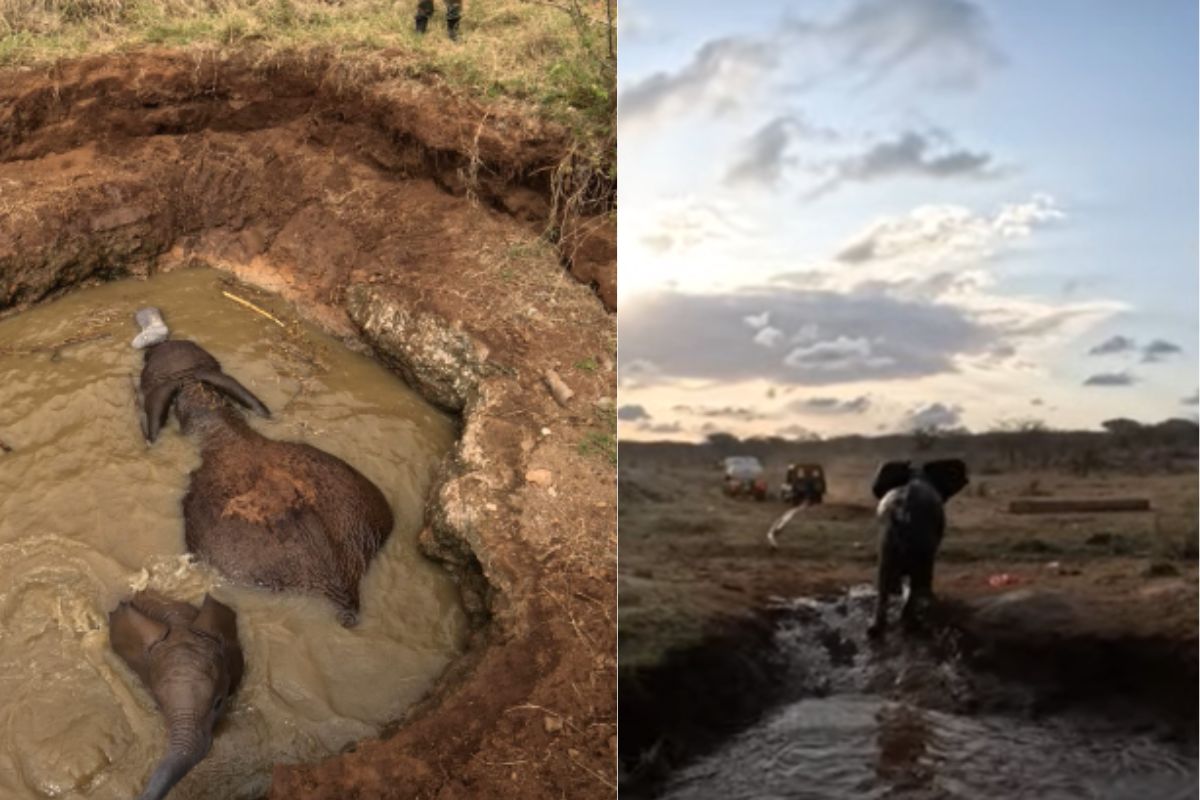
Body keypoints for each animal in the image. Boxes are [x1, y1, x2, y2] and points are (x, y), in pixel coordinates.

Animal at [868, 455, 969, 638]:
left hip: (887, 543)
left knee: (884, 581)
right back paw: (912, 624)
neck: (916, 475)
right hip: (920, 547)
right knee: (917, 581)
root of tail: (903, 515)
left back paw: (876, 630)